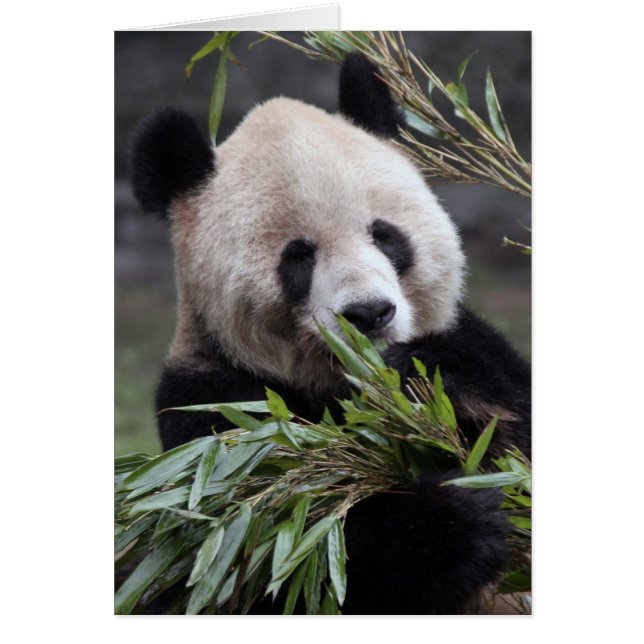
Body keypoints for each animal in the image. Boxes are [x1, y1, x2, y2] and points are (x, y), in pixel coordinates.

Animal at [130, 53, 531, 615]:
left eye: (384, 235)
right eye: (298, 256)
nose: (369, 314)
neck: (344, 383)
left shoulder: (477, 344)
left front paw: (425, 379)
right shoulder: (215, 415)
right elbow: (278, 555)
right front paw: (458, 516)